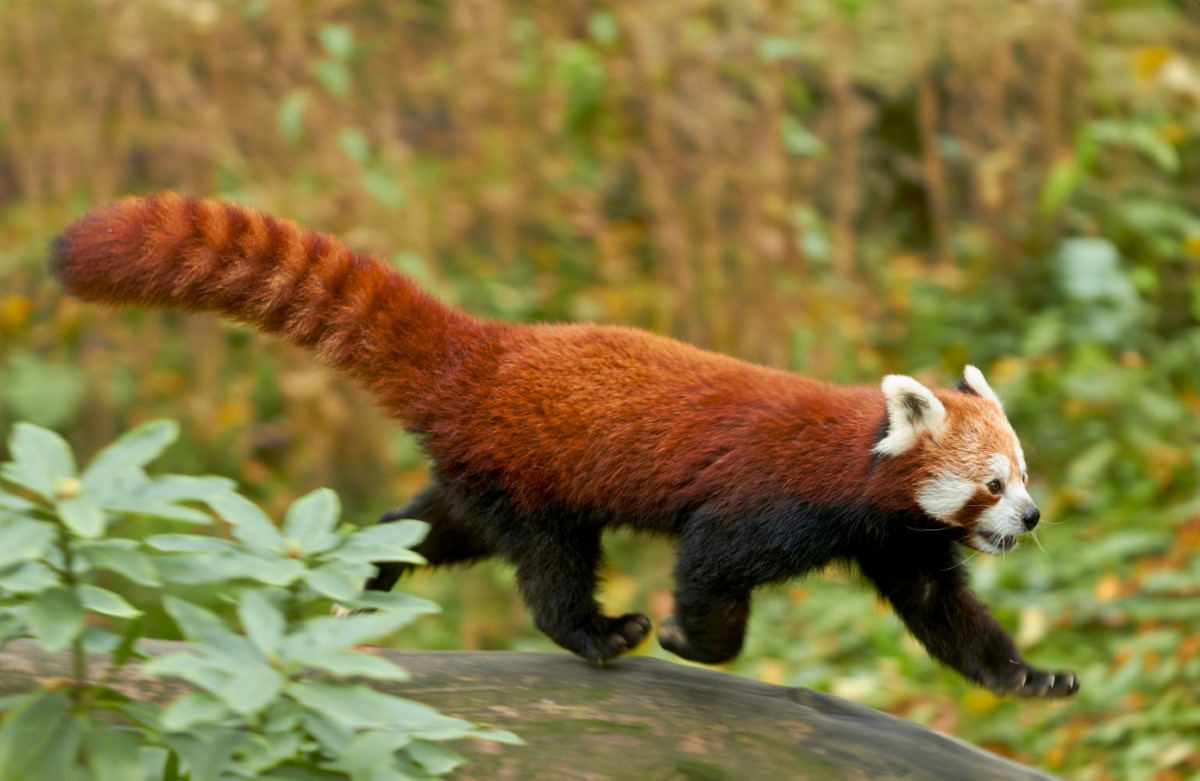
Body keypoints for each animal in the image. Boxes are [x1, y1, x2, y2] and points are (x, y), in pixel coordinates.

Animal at [51, 195, 1080, 700]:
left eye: (1026, 475)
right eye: (994, 483)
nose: (1033, 516)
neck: (855, 471)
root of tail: (487, 350)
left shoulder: (897, 540)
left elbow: (949, 619)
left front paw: (1028, 674)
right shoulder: (768, 502)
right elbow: (709, 568)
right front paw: (693, 638)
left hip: (482, 473)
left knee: (429, 525)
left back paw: (364, 575)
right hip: (535, 479)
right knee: (547, 566)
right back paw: (597, 630)